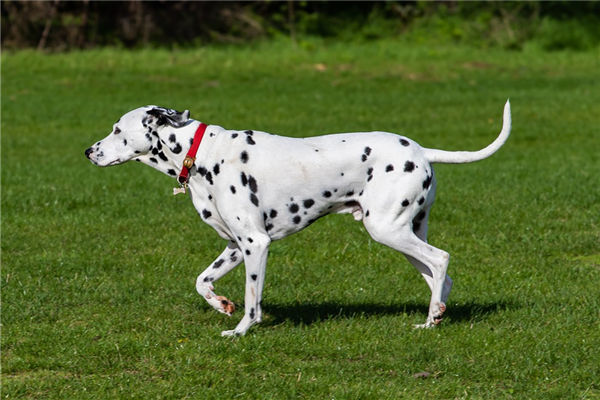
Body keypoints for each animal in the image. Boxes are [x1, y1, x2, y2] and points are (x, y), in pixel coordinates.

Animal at [85, 101, 510, 338]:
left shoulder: (255, 246)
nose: (89, 151)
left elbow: (252, 301)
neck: (202, 151)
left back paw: (433, 316)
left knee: (441, 260)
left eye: (117, 129)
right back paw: (432, 319)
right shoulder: (235, 247)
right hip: (404, 235)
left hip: (388, 230)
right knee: (440, 277)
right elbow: (202, 282)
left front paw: (240, 330)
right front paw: (221, 304)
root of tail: (422, 150)